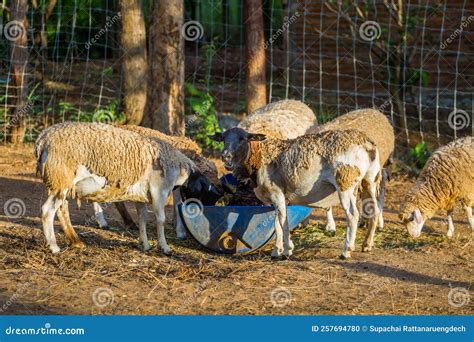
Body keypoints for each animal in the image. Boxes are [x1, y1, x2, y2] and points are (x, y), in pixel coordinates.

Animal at [33, 122, 204, 254]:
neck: (180, 167)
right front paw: (165, 247)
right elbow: (160, 220)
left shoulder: (142, 195)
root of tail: (43, 140)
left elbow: (142, 217)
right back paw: (54, 247)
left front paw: (145, 244)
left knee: (62, 210)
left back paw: (75, 241)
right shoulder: (159, 191)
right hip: (61, 179)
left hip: (64, 184)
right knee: (47, 211)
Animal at [217, 127, 384, 258]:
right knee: (375, 210)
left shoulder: (276, 192)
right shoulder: (279, 197)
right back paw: (367, 244)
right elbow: (277, 222)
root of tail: (367, 144)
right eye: (223, 139)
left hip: (345, 181)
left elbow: (282, 220)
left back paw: (346, 251)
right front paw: (278, 250)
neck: (260, 158)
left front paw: (285, 251)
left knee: (353, 215)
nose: (225, 156)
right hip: (370, 179)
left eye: (242, 139)